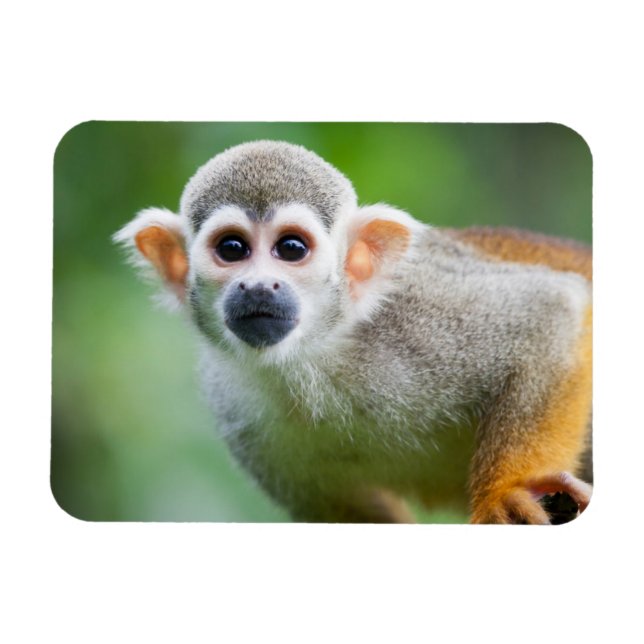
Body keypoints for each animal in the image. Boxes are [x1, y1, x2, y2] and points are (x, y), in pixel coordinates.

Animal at [114, 140, 592, 524]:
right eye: (232, 249)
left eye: (291, 248)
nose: (258, 286)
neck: (314, 356)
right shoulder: (234, 407)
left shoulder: (421, 316)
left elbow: (551, 311)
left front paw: (505, 493)